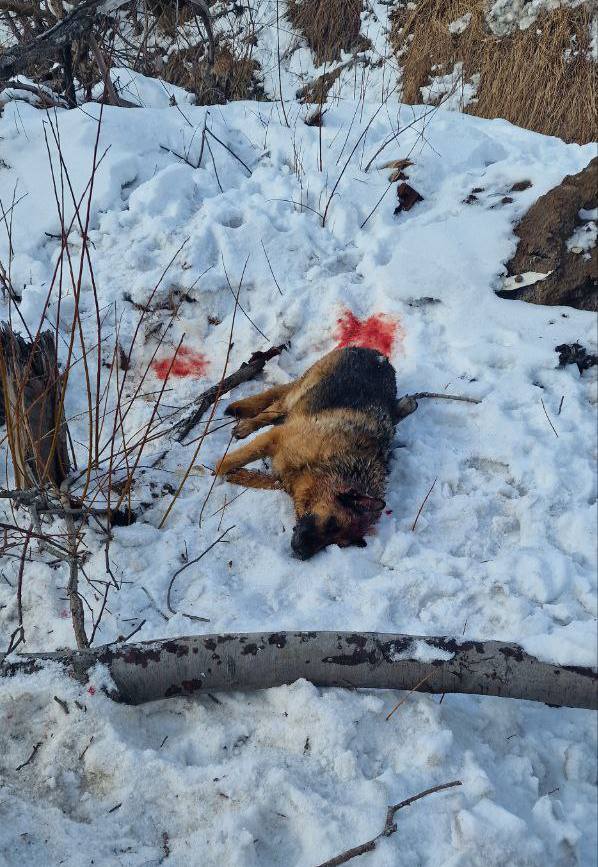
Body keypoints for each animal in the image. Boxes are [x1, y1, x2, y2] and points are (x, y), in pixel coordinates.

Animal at [213, 348, 400, 564]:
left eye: (336, 544)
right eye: (332, 523)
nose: (302, 554)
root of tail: (377, 354)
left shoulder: (285, 479)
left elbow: (261, 479)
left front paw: (239, 475)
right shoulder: (276, 437)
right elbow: (231, 460)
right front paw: (217, 470)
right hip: (298, 393)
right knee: (273, 407)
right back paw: (246, 425)